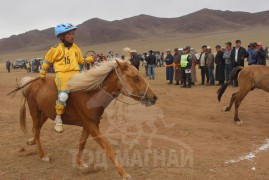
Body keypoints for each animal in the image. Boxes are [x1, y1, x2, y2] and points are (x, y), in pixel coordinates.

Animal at [11, 59, 157, 179]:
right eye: (136, 78)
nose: (154, 97)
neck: (90, 95)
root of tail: (30, 83)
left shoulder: (88, 125)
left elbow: (82, 143)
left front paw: (80, 163)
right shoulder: (92, 126)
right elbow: (108, 148)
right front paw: (124, 174)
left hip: (45, 114)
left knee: (36, 130)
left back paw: (31, 142)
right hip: (35, 112)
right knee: (37, 131)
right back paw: (43, 155)